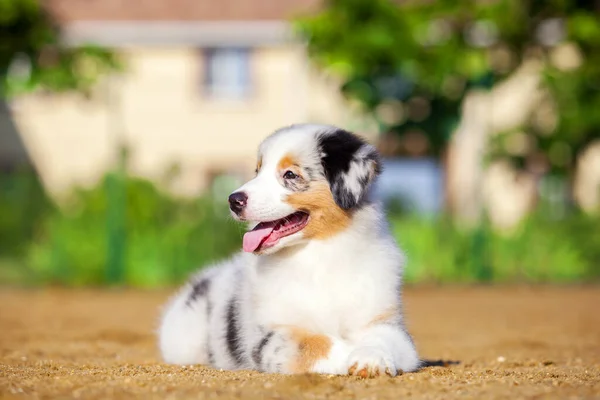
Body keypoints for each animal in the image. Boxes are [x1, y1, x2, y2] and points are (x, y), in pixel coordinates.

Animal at [157, 123, 420, 376]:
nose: (233, 200)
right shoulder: (267, 335)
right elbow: (314, 343)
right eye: (257, 171)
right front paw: (348, 354)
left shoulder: (388, 325)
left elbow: (382, 341)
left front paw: (371, 359)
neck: (318, 254)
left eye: (290, 174)